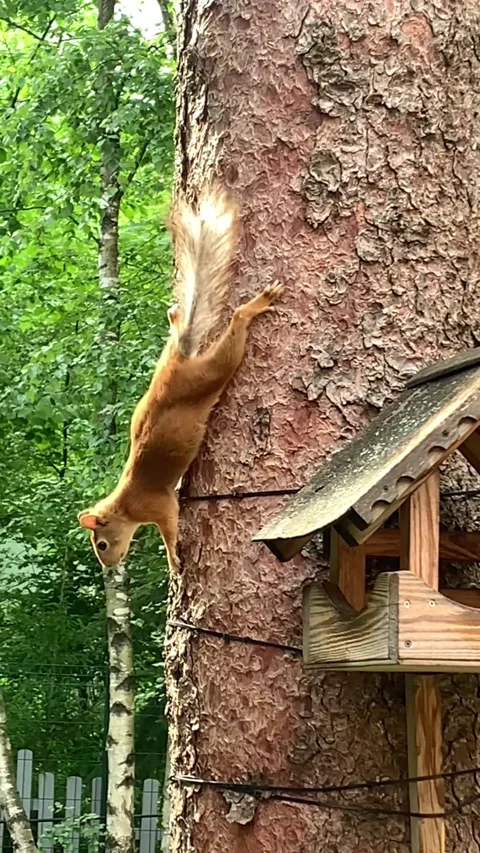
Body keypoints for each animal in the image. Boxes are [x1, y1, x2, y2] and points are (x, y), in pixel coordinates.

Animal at [78, 186, 284, 571]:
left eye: (100, 543)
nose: (109, 567)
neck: (124, 506)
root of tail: (177, 365)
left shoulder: (157, 506)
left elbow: (169, 530)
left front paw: (174, 560)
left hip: (211, 372)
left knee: (234, 329)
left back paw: (253, 305)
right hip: (175, 361)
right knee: (175, 337)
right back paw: (175, 318)